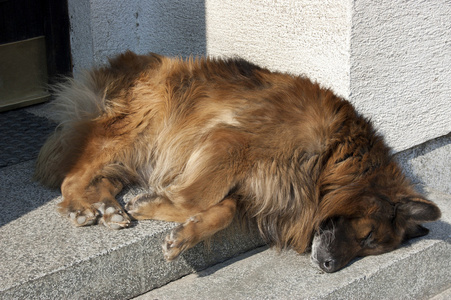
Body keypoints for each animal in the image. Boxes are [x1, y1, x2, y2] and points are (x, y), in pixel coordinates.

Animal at [34, 51, 442, 272]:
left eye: (370, 249)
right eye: (368, 236)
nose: (328, 268)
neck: (330, 158)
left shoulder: (254, 186)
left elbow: (222, 211)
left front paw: (184, 234)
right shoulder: (231, 142)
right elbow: (196, 198)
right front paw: (155, 204)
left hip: (137, 151)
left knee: (103, 177)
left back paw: (109, 206)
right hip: (134, 127)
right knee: (71, 178)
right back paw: (83, 207)